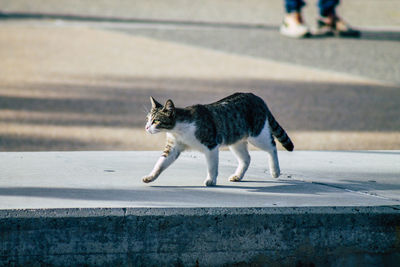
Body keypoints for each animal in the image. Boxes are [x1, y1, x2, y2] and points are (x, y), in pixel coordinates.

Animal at [142, 93, 292, 187]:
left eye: (156, 121)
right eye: (147, 119)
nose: (146, 127)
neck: (178, 130)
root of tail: (257, 97)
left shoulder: (211, 145)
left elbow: (212, 166)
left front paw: (210, 180)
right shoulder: (173, 147)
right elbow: (160, 164)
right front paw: (151, 177)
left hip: (257, 135)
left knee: (272, 145)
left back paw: (275, 171)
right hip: (236, 140)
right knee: (246, 158)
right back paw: (238, 176)